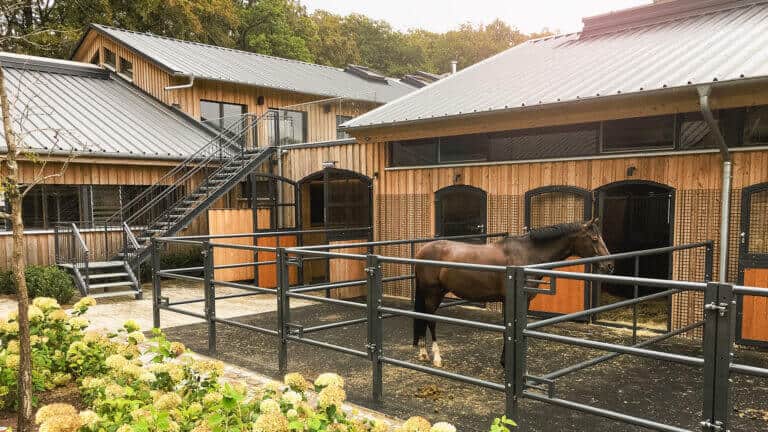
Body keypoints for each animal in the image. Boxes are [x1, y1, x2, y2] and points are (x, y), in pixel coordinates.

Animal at [412, 219, 616, 368]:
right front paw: (506, 364)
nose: (609, 266)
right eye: (594, 238)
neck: (528, 255)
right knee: (430, 320)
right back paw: (437, 358)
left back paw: (422, 353)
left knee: (423, 318)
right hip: (432, 294)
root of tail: (422, 252)